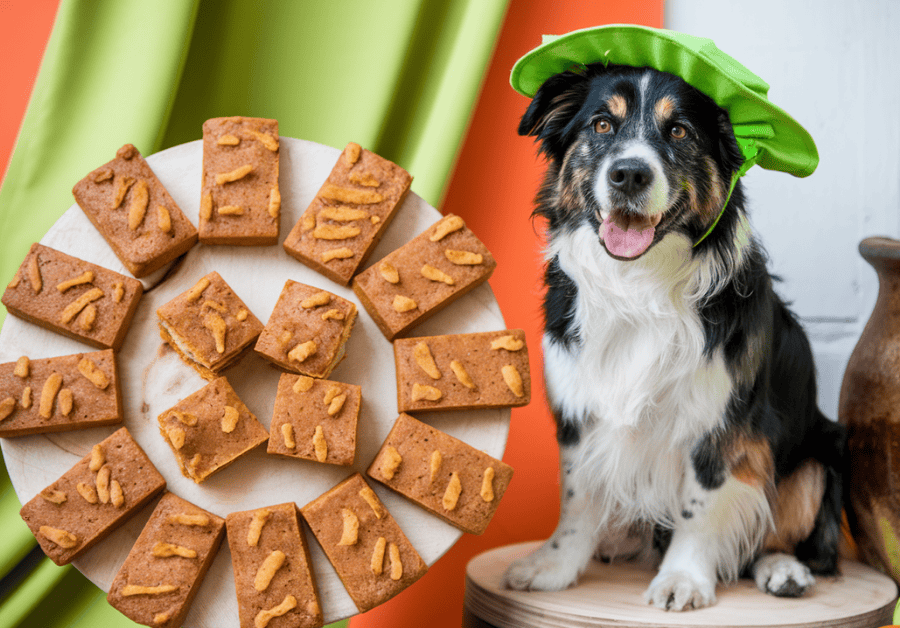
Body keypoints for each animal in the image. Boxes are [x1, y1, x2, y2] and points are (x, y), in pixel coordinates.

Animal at [502, 61, 848, 612]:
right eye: (602, 124)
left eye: (680, 131)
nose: (628, 174)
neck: (638, 284)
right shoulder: (579, 410)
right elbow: (577, 499)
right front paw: (554, 566)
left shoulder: (721, 424)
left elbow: (699, 508)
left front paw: (683, 578)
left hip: (819, 456)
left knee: (782, 538)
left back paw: (783, 569)